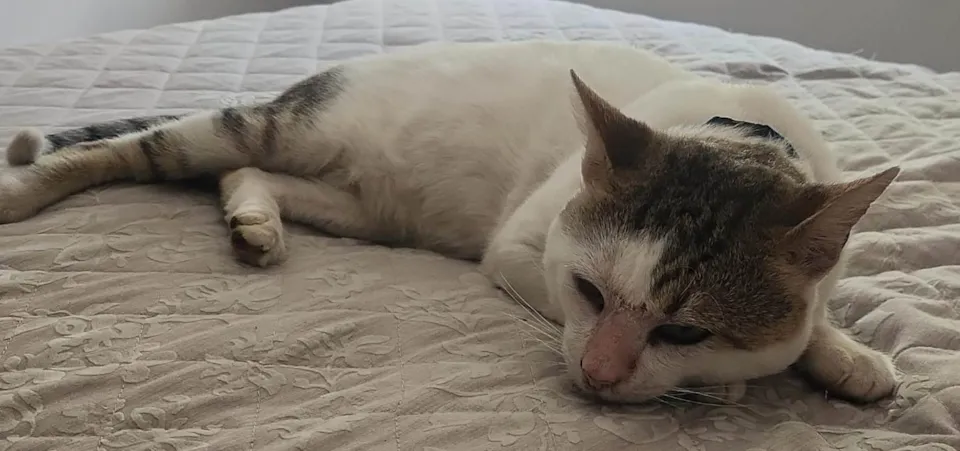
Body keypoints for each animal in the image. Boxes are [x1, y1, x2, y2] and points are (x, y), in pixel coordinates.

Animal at [0, 40, 899, 405]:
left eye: (684, 330)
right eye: (588, 291)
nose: (599, 374)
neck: (741, 127)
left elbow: (815, 319)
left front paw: (845, 353)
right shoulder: (520, 253)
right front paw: (744, 378)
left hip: (364, 210)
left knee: (243, 175)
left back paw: (253, 221)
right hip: (268, 128)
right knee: (143, 147)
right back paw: (22, 190)